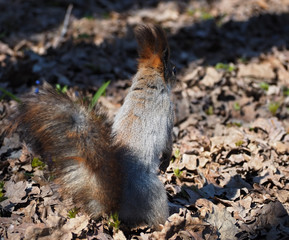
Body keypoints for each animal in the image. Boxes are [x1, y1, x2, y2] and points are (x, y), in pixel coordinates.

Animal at [10, 24, 176, 229]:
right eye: (171, 67)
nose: (176, 75)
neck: (148, 83)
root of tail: (115, 208)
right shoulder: (168, 113)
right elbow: (168, 142)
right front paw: (166, 161)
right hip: (153, 192)